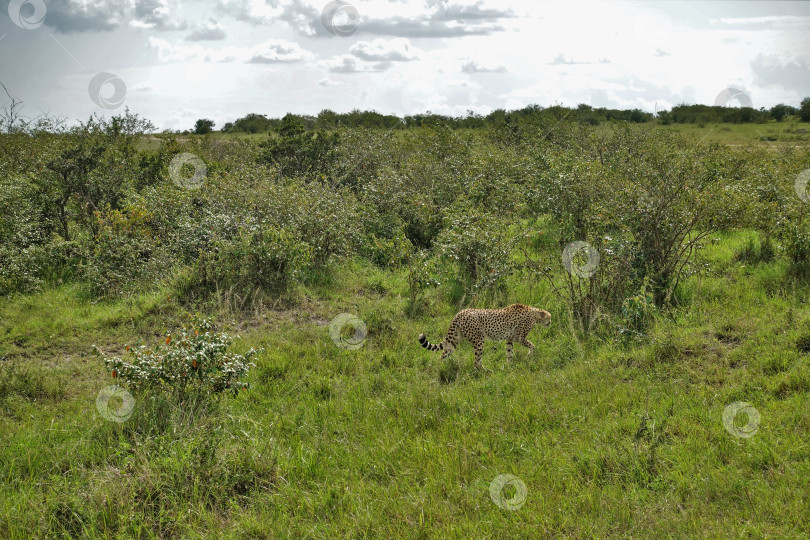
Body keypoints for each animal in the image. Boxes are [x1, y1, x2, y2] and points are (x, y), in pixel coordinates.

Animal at [416, 304, 548, 372]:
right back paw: (487, 371)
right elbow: (532, 345)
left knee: (442, 355)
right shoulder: (518, 337)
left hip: (454, 341)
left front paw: (510, 366)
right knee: (476, 361)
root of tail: (460, 313)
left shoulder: (509, 339)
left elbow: (509, 352)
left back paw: (440, 368)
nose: (550, 322)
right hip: (479, 340)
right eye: (549, 317)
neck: (534, 313)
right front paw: (530, 354)